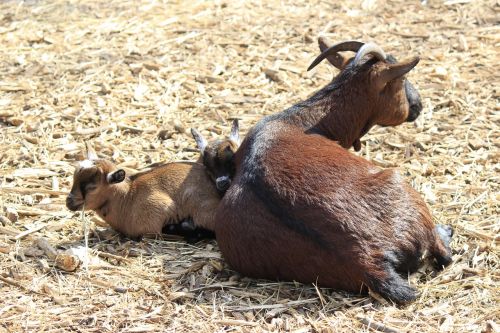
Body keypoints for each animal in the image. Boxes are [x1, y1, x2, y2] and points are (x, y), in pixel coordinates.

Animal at [211, 39, 454, 304]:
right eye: (402, 80)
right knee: (443, 254)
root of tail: (366, 260)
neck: (300, 121)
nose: (418, 106)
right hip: (400, 184)